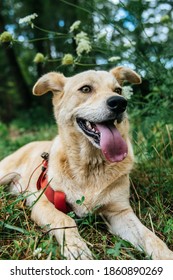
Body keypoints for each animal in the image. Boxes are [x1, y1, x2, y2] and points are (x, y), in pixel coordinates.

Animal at [0, 66, 173, 260]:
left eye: (118, 90)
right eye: (85, 89)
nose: (120, 103)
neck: (91, 166)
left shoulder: (120, 212)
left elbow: (150, 236)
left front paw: (165, 255)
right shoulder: (42, 202)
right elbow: (65, 218)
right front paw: (77, 249)